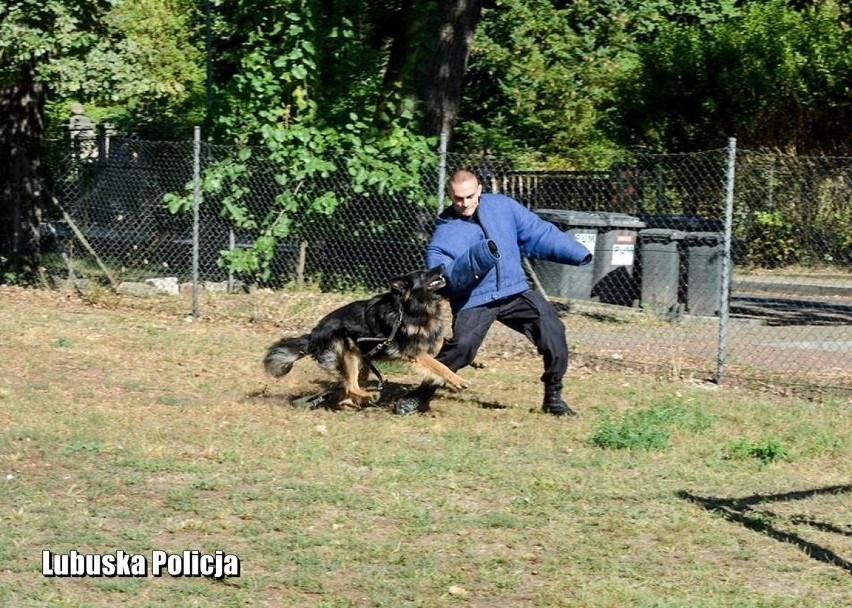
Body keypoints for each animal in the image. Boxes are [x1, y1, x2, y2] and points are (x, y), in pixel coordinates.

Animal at [264, 264, 466, 406]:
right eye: (424, 274)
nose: (442, 265)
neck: (409, 308)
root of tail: (314, 333)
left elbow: (442, 345)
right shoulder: (414, 352)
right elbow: (439, 366)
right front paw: (458, 380)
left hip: (363, 362)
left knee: (346, 389)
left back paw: (354, 401)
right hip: (349, 352)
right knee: (350, 386)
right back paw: (368, 396)